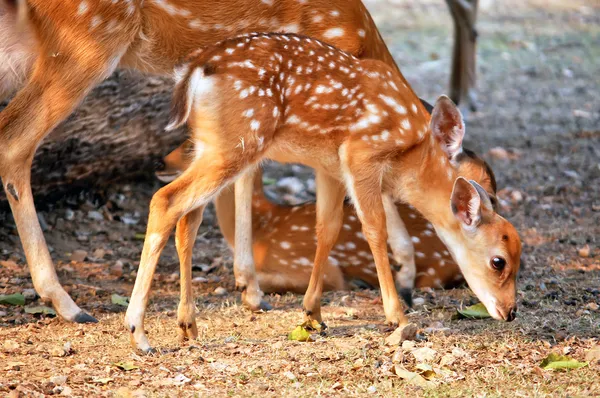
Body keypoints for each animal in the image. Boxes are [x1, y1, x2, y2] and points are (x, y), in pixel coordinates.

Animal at [126, 32, 520, 352]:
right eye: (498, 261)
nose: (511, 311)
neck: (410, 162)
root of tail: (194, 70)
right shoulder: (361, 154)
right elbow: (375, 230)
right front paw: (398, 318)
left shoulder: (330, 167)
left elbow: (327, 229)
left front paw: (312, 313)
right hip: (238, 140)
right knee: (166, 201)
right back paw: (139, 334)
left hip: (209, 144)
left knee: (188, 219)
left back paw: (188, 326)